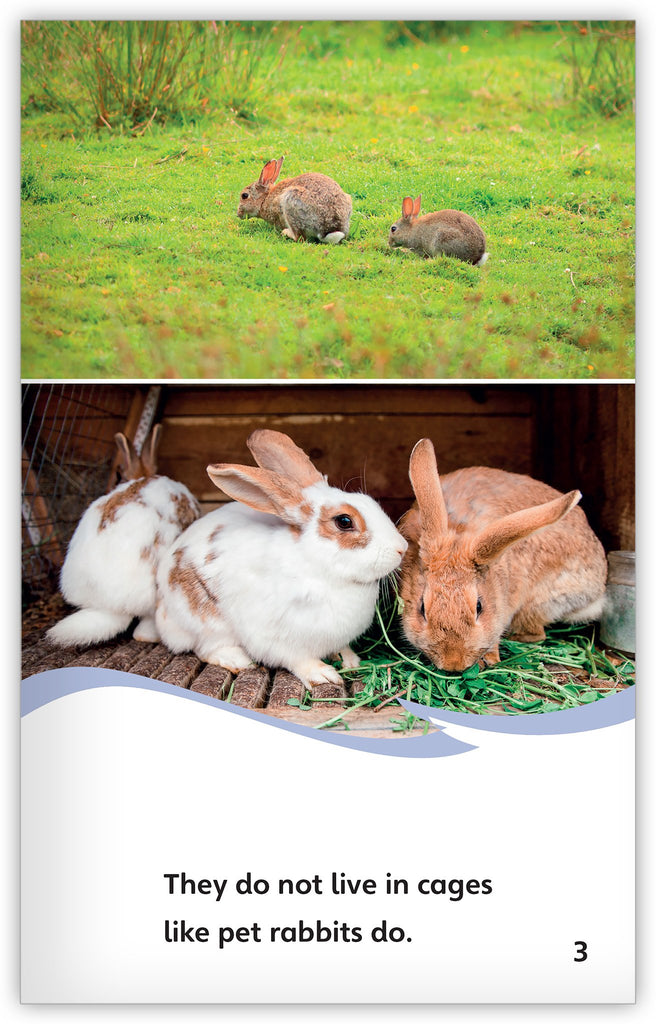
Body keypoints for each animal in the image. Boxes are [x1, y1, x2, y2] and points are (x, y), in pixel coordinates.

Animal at [154, 429, 408, 689]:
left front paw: (349, 660)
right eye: (344, 521)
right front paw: (323, 675)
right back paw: (239, 660)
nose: (402, 548)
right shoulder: (277, 639)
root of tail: (162, 613)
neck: (321, 569)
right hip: (207, 621)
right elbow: (298, 660)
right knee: (206, 648)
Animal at [397, 438, 607, 673]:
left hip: (537, 602)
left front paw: (491, 659)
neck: (459, 528)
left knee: (537, 634)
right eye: (422, 609)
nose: (453, 663)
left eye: (479, 607)